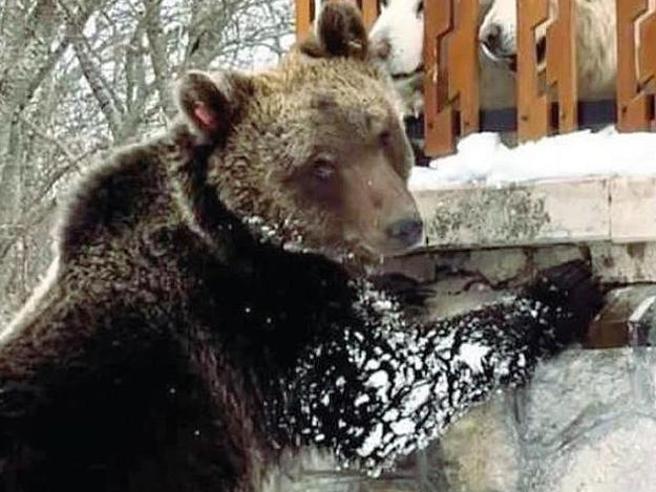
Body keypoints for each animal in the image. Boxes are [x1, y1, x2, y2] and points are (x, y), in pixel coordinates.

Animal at [0, 2, 601, 492]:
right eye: (321, 164)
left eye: (380, 133)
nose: (404, 225)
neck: (249, 236)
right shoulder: (264, 324)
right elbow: (387, 390)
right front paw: (562, 288)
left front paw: (402, 290)